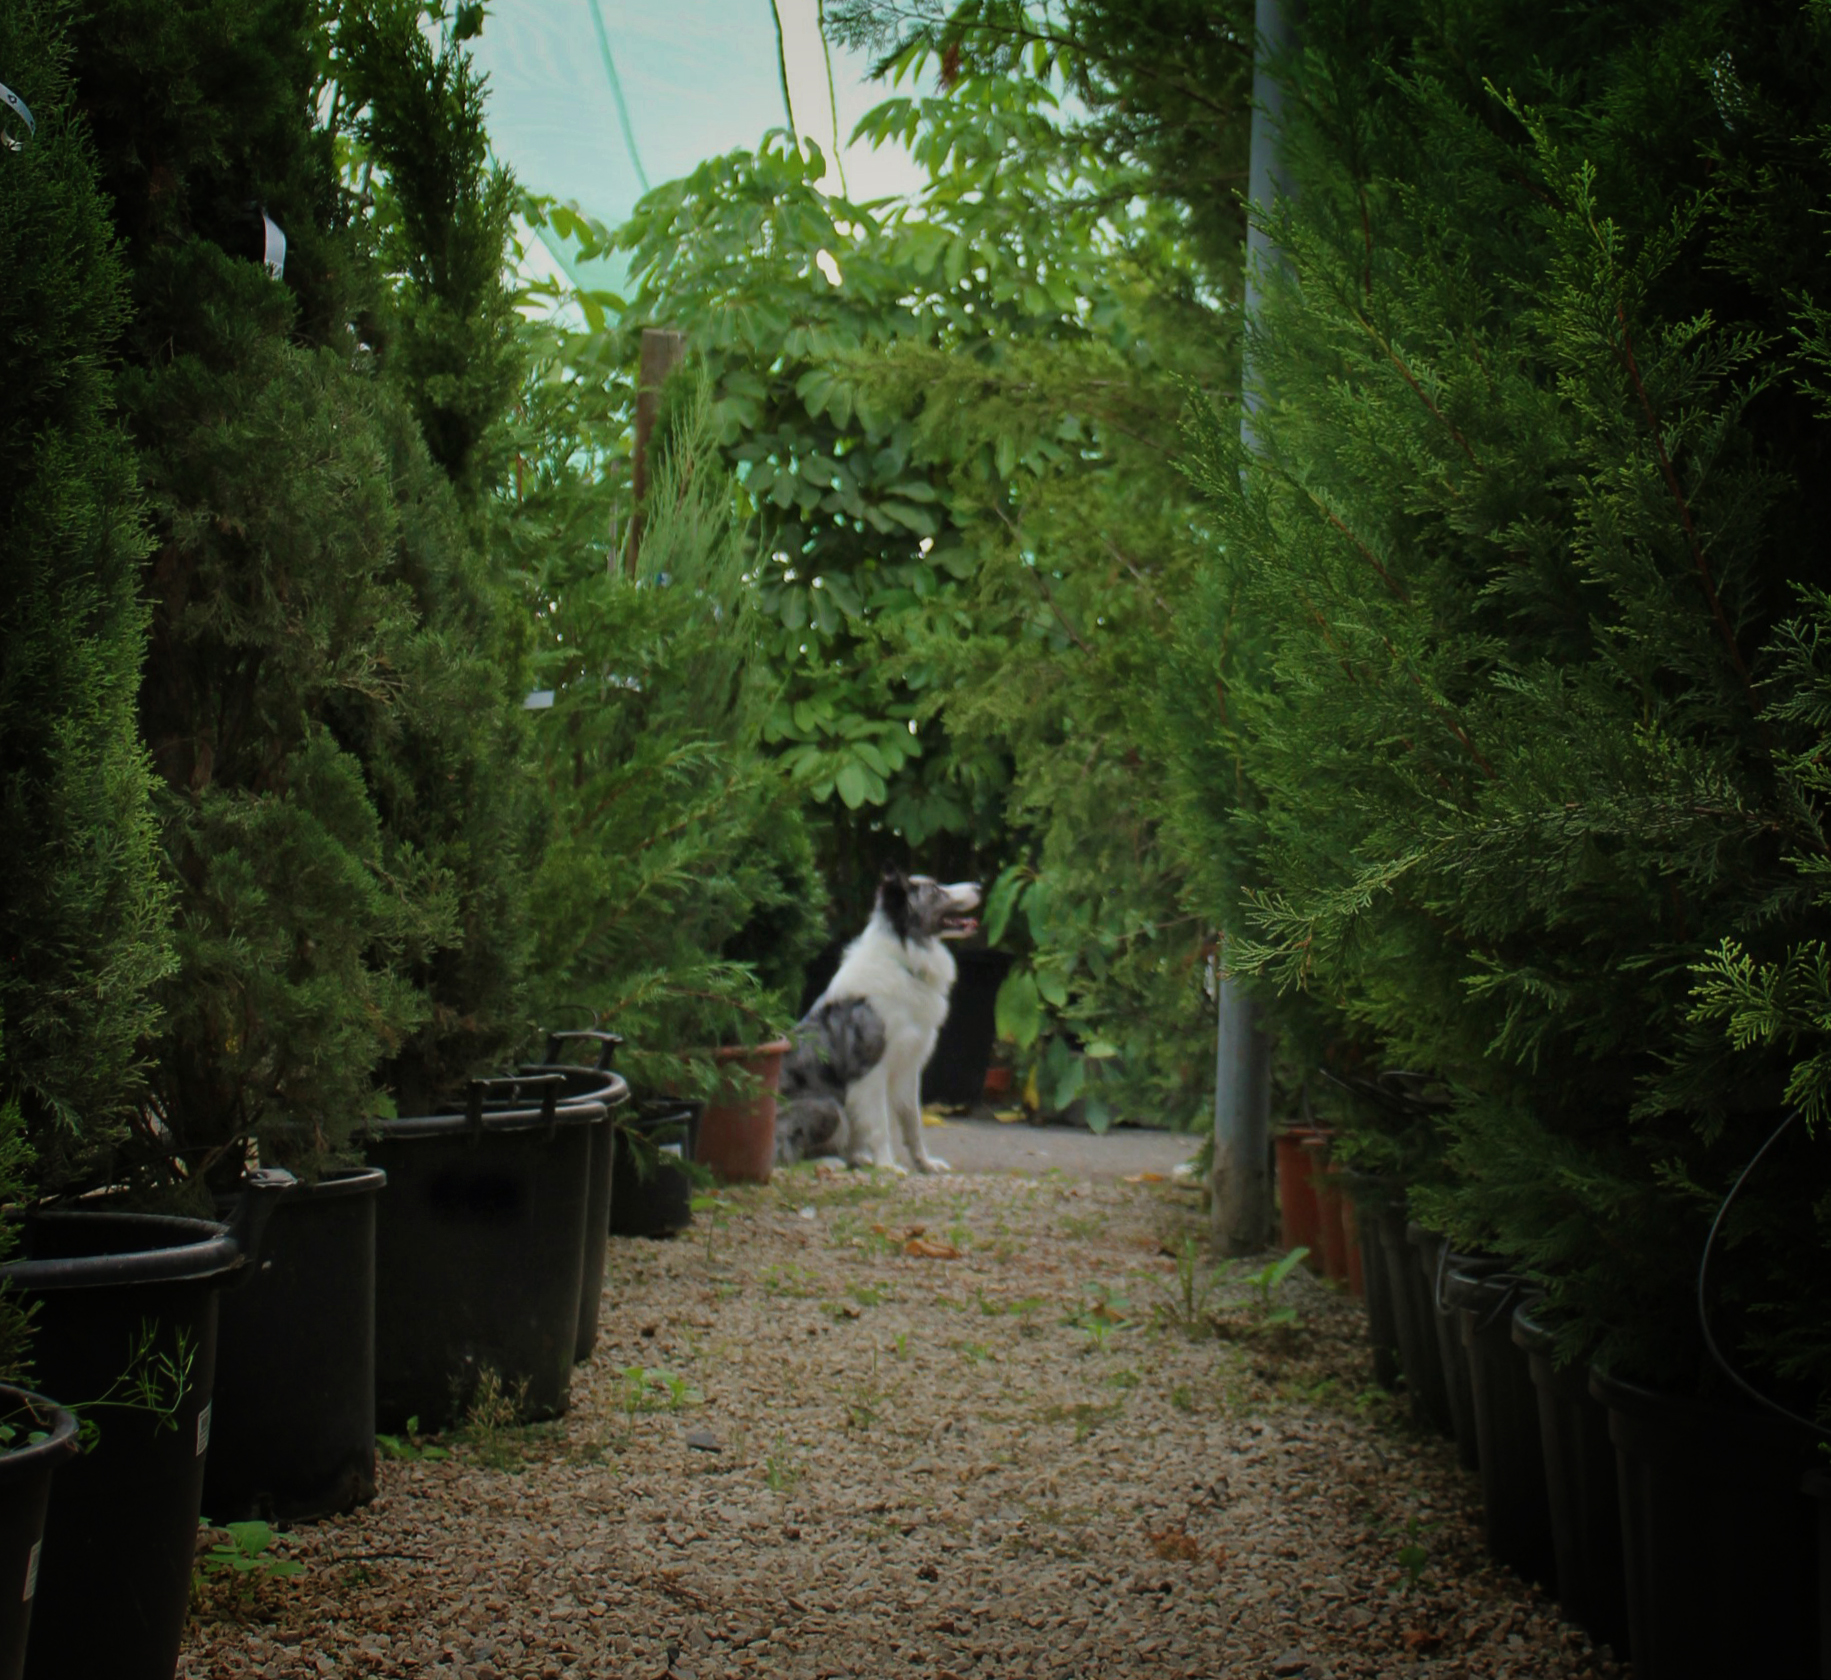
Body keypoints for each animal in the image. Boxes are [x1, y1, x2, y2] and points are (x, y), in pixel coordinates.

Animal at [783, 874, 996, 1178]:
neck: (905, 961)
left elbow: (913, 1122)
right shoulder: (871, 1070)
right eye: (935, 891)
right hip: (829, 1106)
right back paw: (830, 1163)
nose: (979, 886)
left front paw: (924, 1163)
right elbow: (880, 1123)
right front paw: (888, 1165)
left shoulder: (908, 1067)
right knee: (785, 1151)